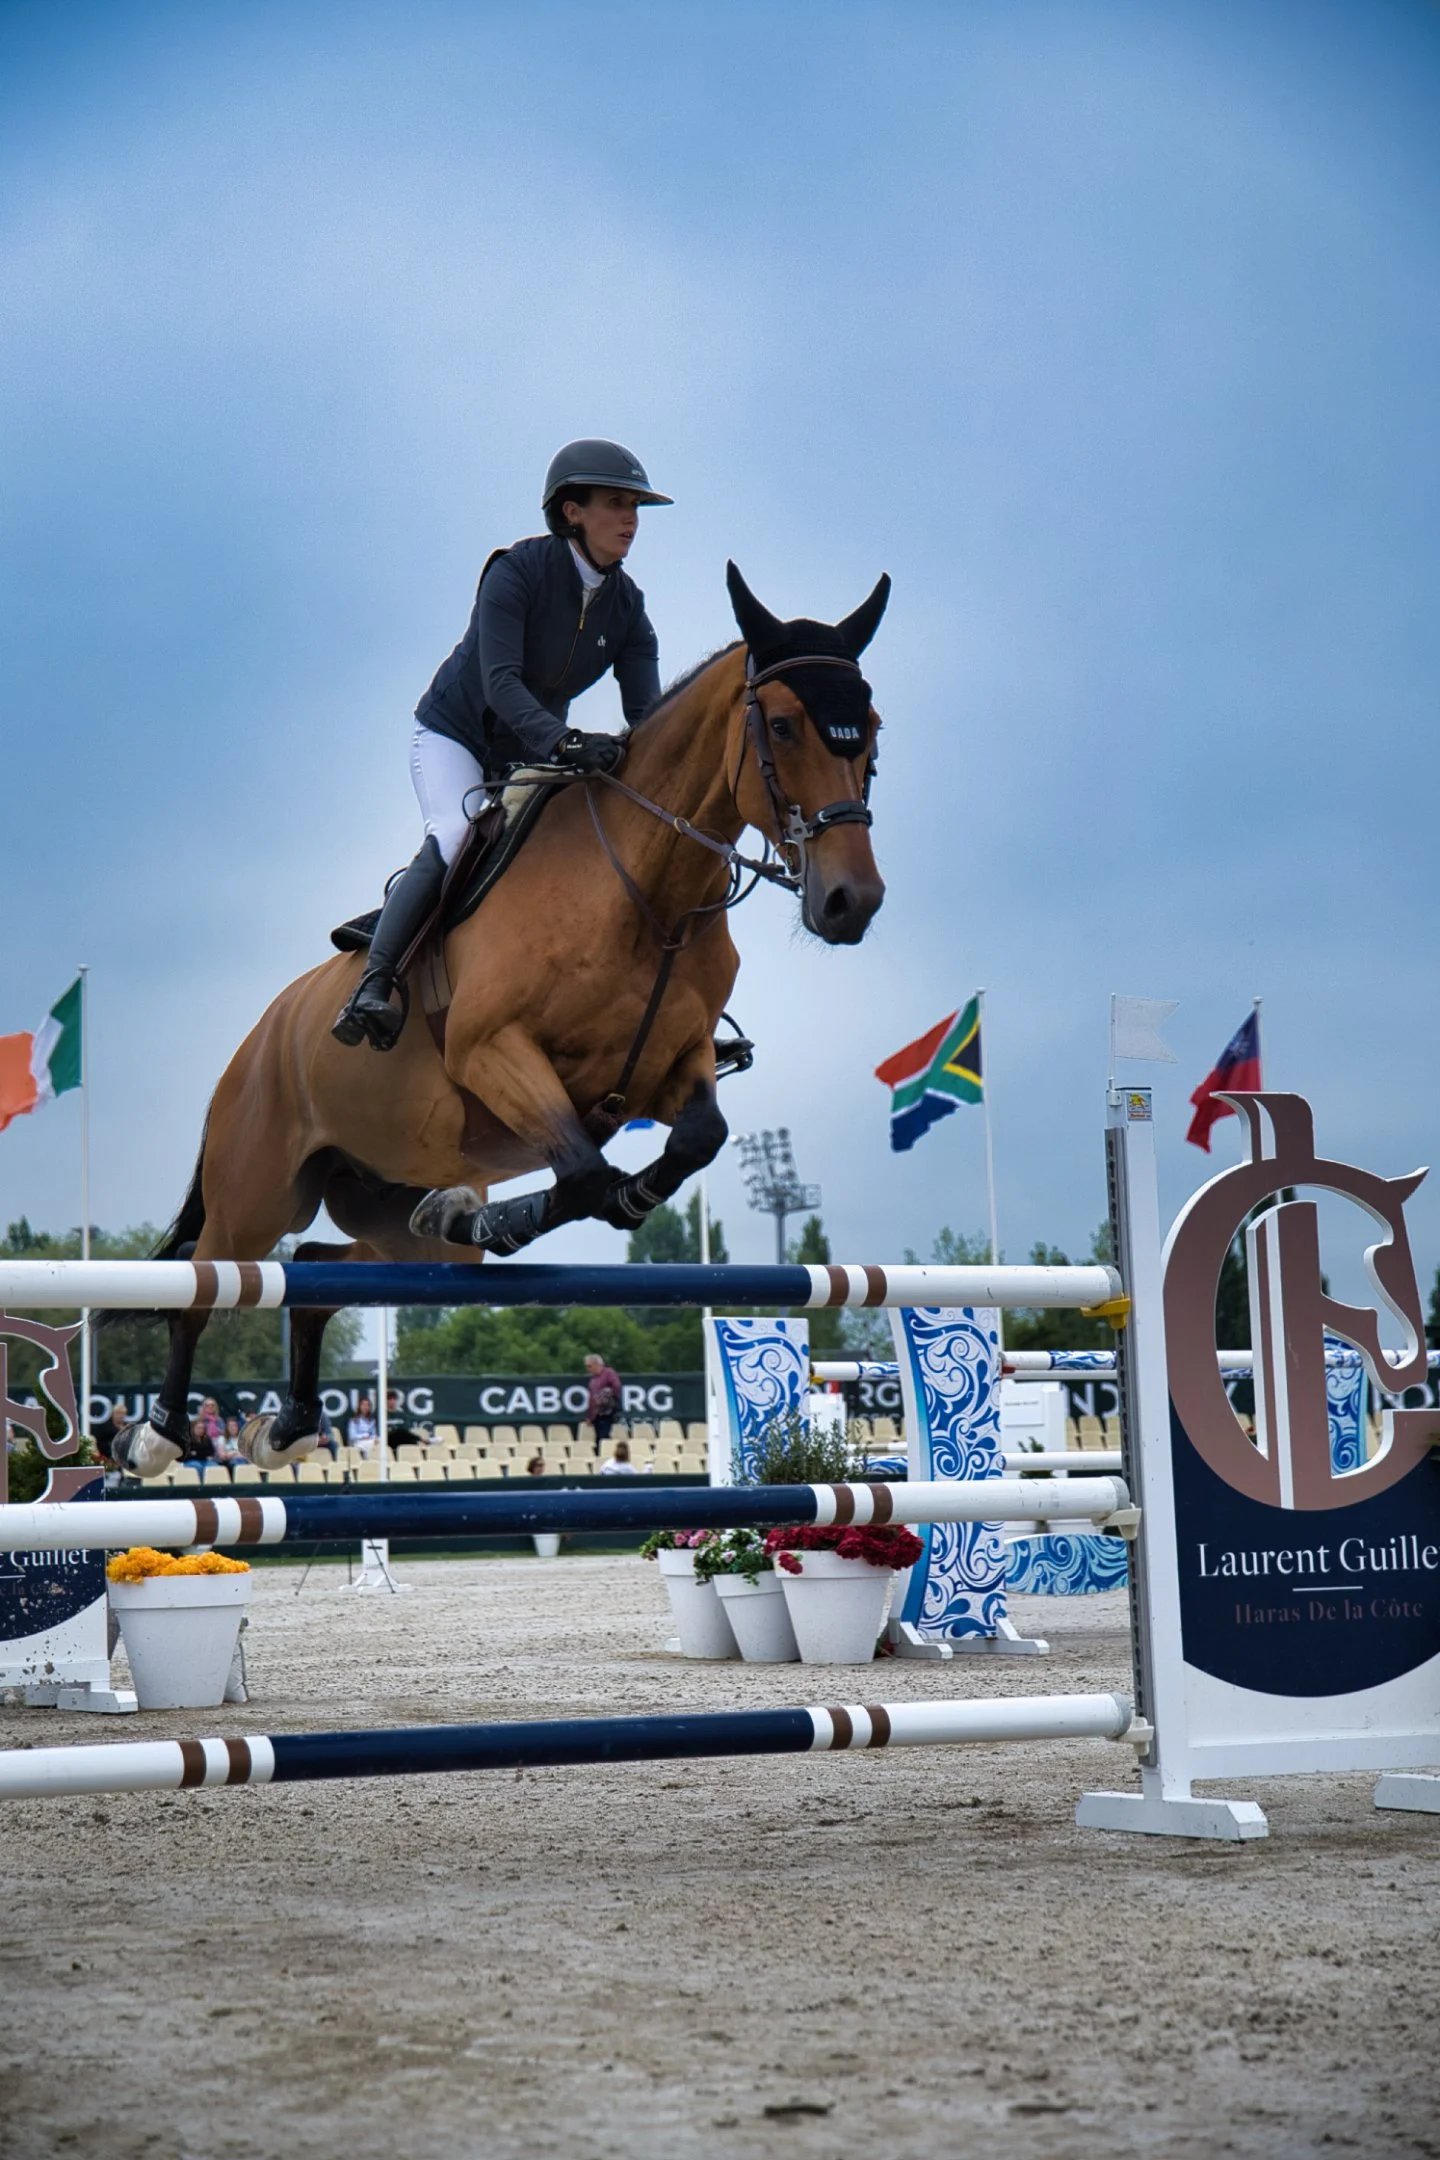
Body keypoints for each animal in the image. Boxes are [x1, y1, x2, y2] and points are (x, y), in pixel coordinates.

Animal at [112, 562, 890, 1480]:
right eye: (781, 725)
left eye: (871, 733)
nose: (851, 902)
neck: (646, 895)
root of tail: (252, 1044)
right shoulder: (497, 1055)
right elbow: (583, 1174)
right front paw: (511, 1214)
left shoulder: (665, 1070)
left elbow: (695, 1138)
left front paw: (533, 1206)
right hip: (255, 1193)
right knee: (205, 1285)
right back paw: (157, 1432)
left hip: (382, 1203)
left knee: (321, 1268)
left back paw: (294, 1419)